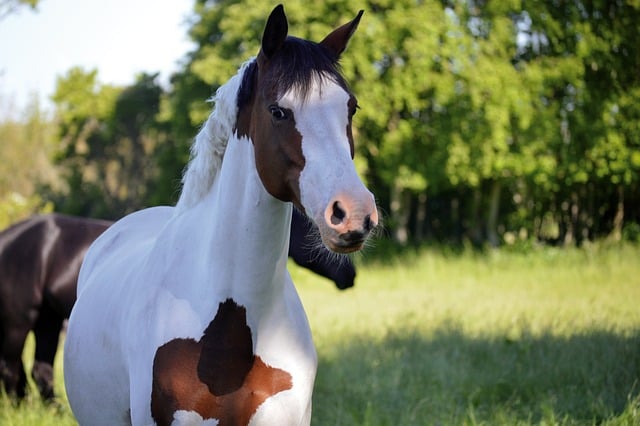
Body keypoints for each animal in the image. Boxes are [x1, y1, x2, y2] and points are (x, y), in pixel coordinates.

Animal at [0, 209, 355, 401]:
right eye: (310, 226)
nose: (349, 275)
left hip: (46, 321)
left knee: (39, 371)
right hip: (20, 323)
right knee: (12, 369)